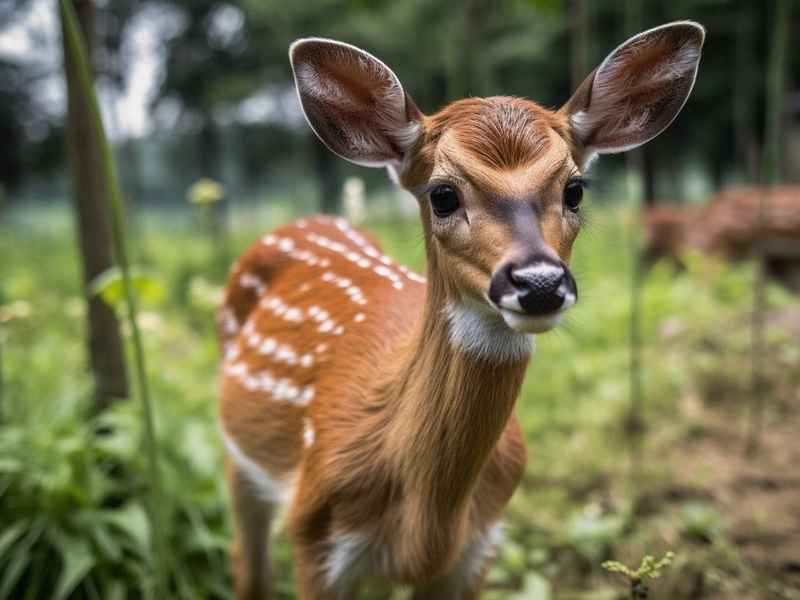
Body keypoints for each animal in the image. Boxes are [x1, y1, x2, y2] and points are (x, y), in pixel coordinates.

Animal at [217, 21, 704, 599]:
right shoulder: (316, 533)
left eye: (575, 190)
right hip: (239, 459)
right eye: (443, 194)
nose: (539, 282)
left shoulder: (480, 544)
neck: (430, 517)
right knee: (247, 565)